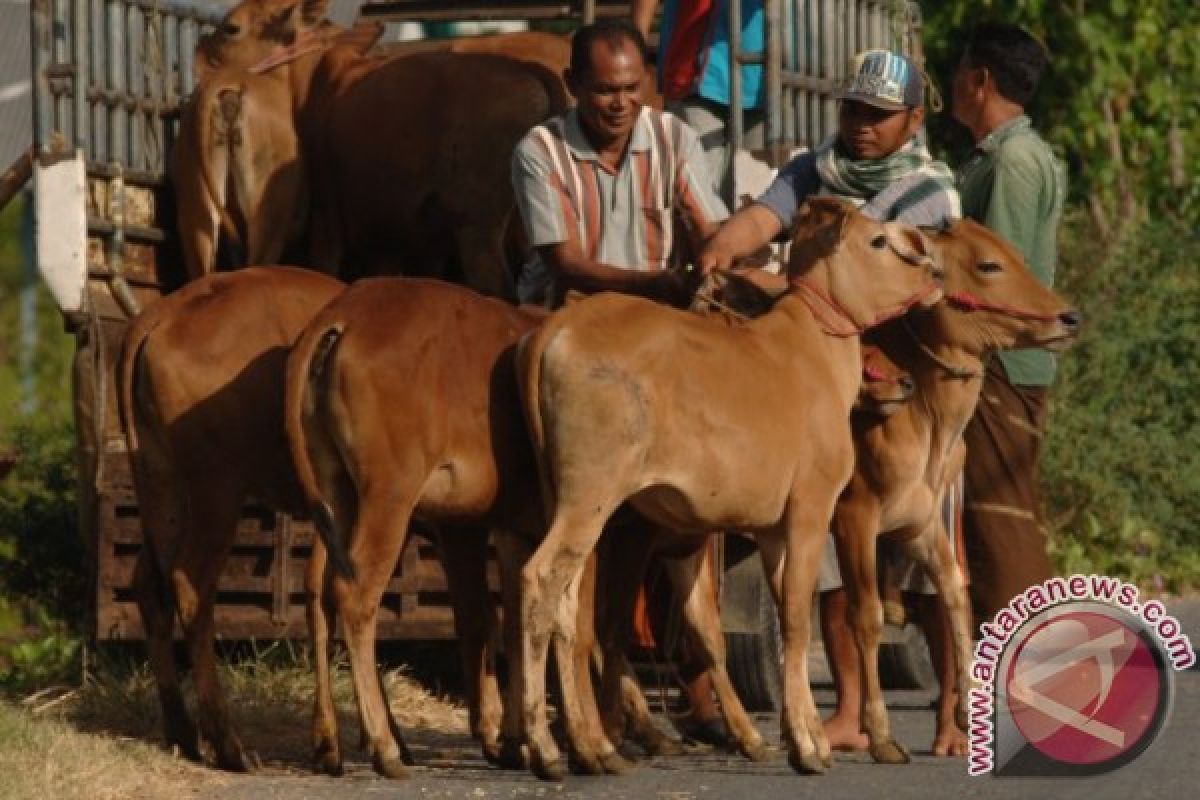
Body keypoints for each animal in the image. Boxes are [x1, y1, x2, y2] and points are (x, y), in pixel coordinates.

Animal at [516, 196, 945, 777]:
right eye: (877, 241)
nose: (932, 271)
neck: (814, 352)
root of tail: (555, 329)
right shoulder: (811, 509)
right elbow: (795, 618)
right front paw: (808, 746)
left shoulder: (771, 530)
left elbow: (781, 613)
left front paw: (802, 733)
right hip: (591, 497)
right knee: (540, 581)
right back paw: (544, 746)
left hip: (565, 498)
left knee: (565, 607)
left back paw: (588, 745)